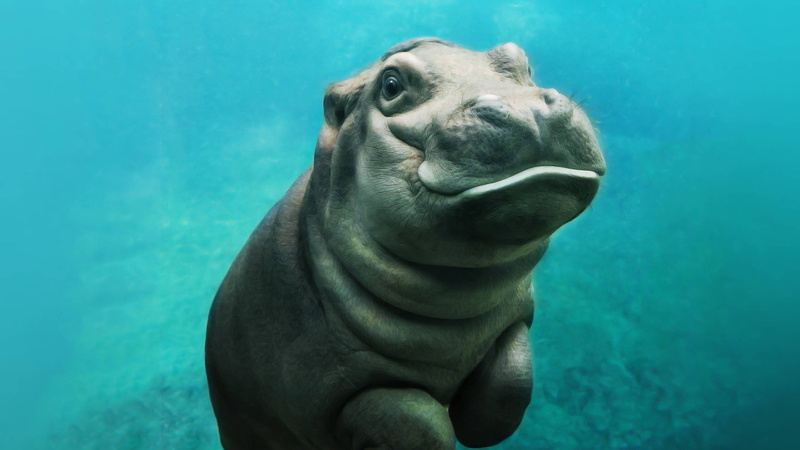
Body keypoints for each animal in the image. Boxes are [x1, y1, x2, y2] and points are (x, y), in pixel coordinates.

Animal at [205, 37, 605, 450]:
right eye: (391, 85)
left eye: (522, 62)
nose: (525, 107)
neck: (455, 301)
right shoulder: (336, 386)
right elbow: (419, 422)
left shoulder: (514, 320)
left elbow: (513, 379)